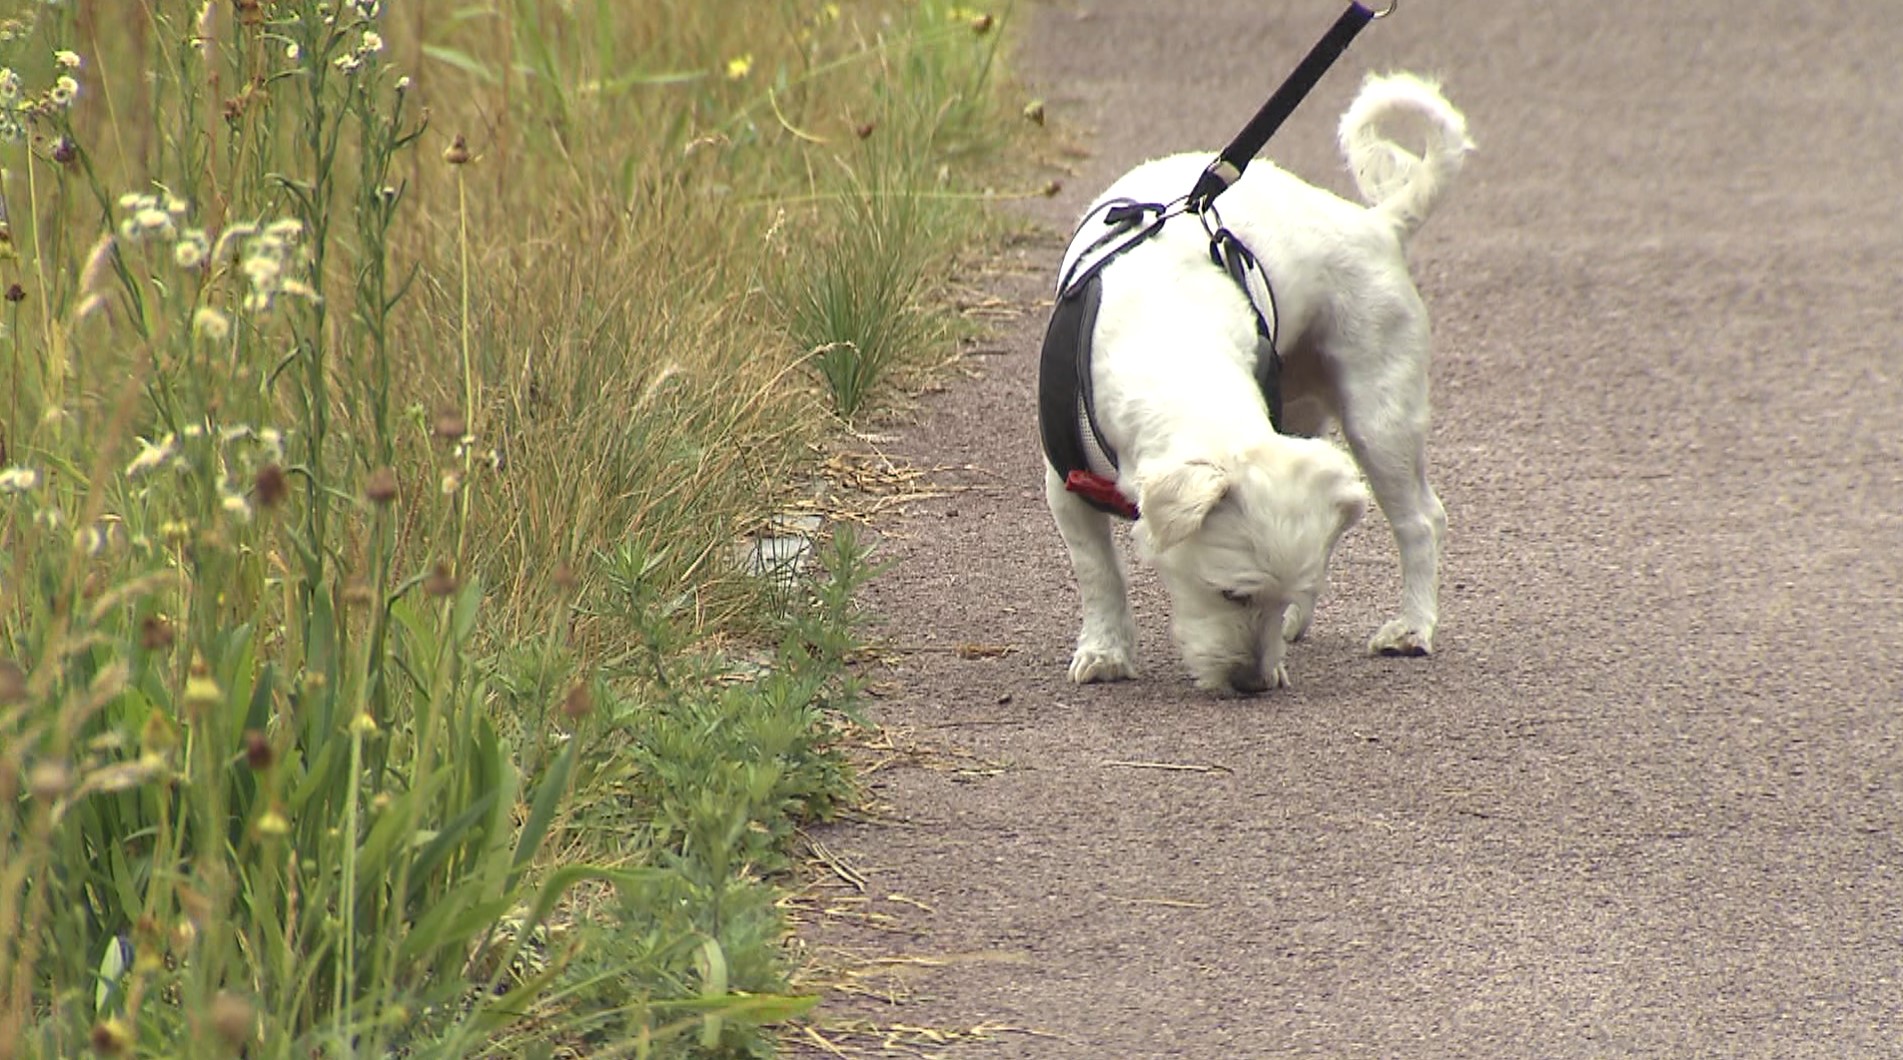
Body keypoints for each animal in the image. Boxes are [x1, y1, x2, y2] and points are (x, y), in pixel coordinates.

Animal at [1042, 70, 1469, 688]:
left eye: (1273, 594)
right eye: (1232, 593)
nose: (1251, 683)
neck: (1176, 341)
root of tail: (1378, 224)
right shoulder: (1066, 487)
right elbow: (1099, 573)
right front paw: (1106, 650)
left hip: (1379, 415)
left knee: (1419, 521)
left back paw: (1411, 627)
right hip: (1307, 420)